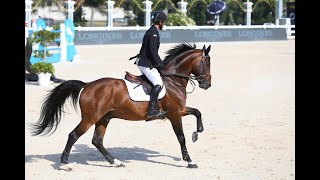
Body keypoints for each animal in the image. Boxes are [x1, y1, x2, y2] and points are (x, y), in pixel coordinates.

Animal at [30, 42, 212, 169]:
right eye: (207, 63)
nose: (207, 84)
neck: (173, 80)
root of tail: (87, 85)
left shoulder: (178, 110)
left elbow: (197, 112)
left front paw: (198, 131)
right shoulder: (174, 113)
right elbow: (181, 137)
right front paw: (190, 161)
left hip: (103, 118)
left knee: (97, 140)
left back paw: (115, 161)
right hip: (90, 118)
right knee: (74, 135)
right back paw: (65, 164)